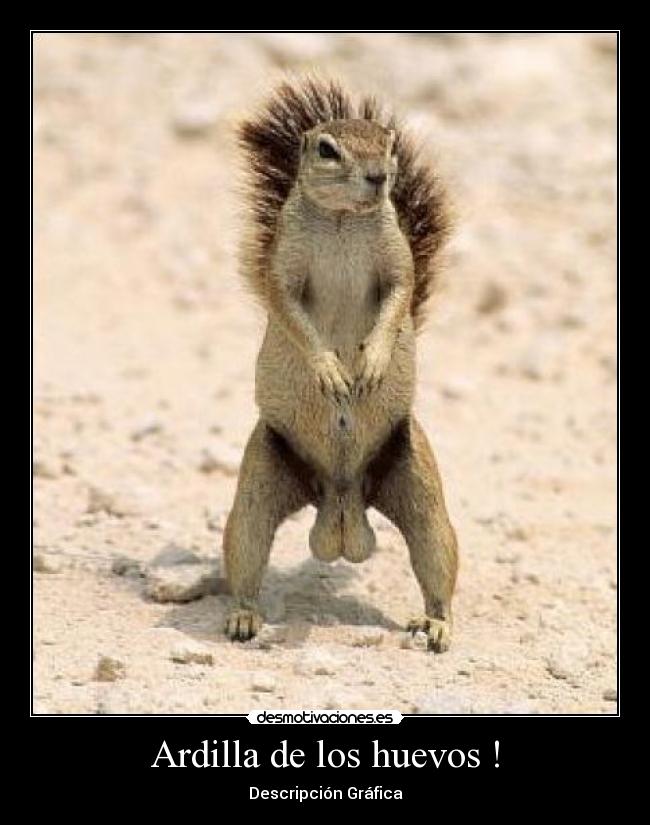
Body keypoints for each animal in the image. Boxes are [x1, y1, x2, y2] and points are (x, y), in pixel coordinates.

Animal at [223, 77, 458, 652]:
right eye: (328, 150)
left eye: (390, 143)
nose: (379, 176)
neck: (343, 222)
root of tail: (341, 498)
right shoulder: (283, 269)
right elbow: (290, 310)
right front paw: (330, 370)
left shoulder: (398, 261)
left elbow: (399, 297)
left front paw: (371, 361)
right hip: (260, 481)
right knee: (246, 550)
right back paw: (243, 617)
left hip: (418, 483)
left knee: (435, 559)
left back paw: (437, 625)